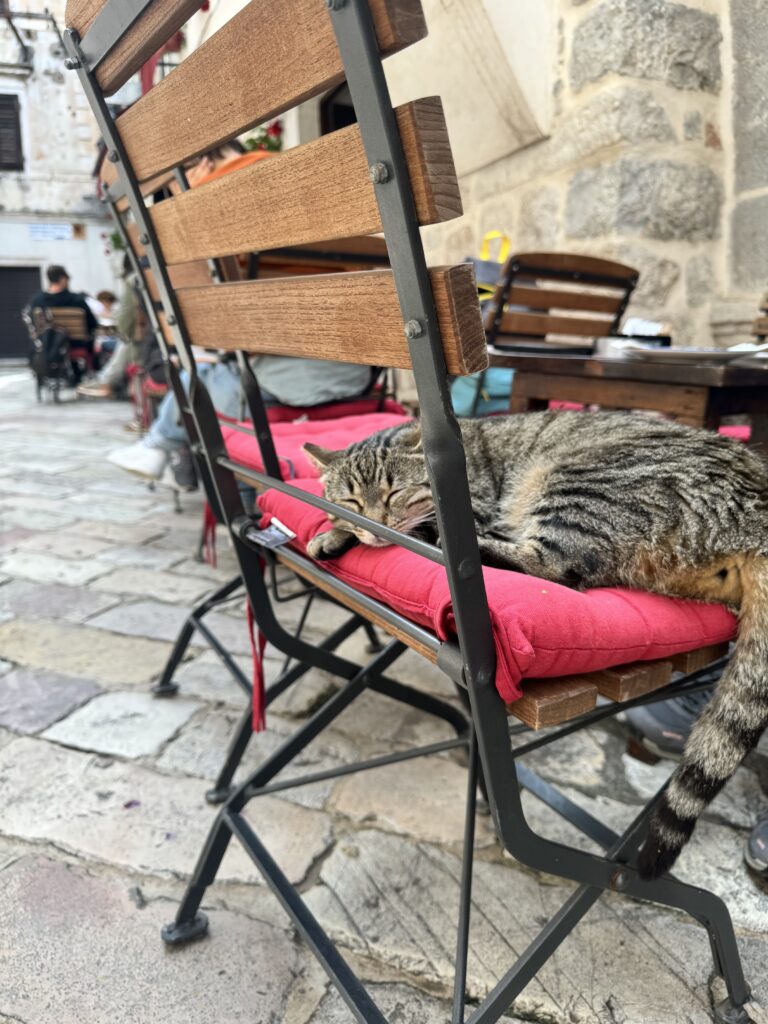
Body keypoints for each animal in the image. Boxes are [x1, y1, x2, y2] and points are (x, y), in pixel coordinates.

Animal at [305, 409, 768, 880]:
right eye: (352, 501)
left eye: (395, 492)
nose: (375, 525)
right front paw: (338, 530)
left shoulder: (473, 507)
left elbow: (424, 525)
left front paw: (344, 535)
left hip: (581, 483)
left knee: (556, 567)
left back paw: (472, 549)